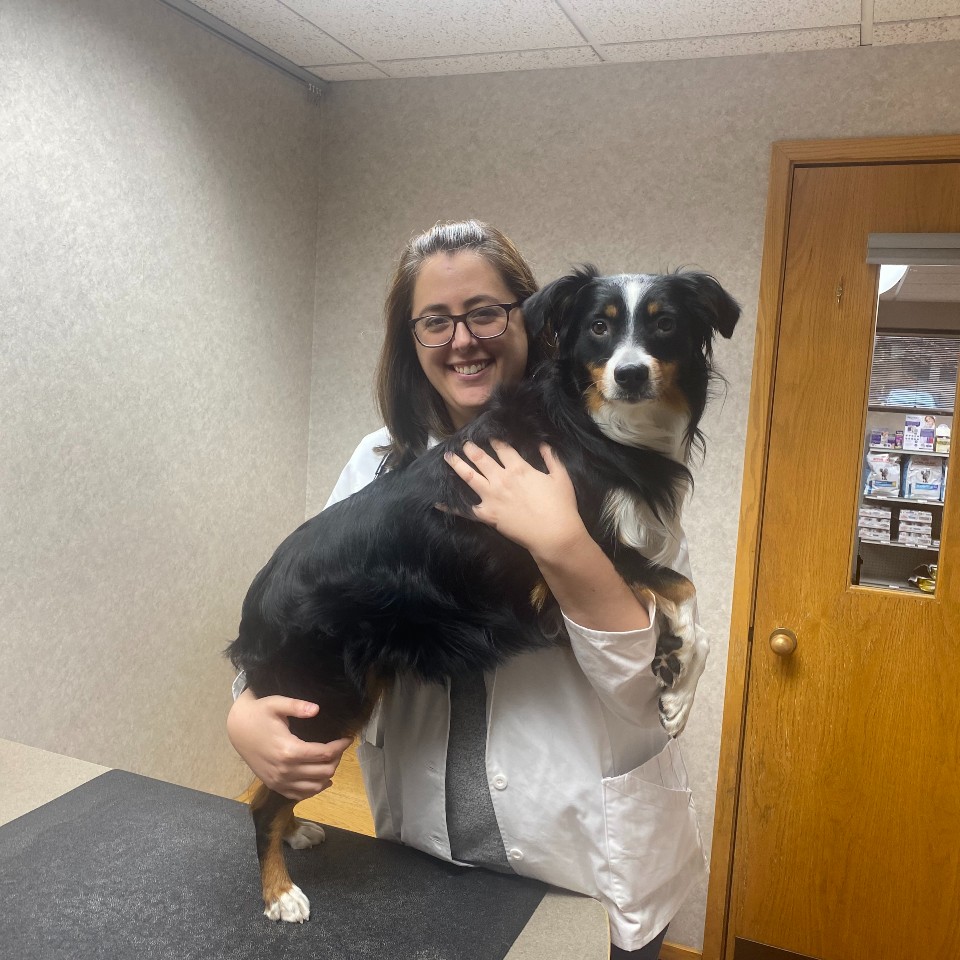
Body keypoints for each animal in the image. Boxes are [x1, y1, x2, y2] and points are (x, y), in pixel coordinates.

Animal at [229, 262, 740, 924]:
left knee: (274, 783)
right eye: (599, 328)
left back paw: (295, 833)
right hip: (325, 700)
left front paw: (672, 677)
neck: (595, 427)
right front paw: (679, 691)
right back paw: (279, 892)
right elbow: (684, 588)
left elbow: (680, 599)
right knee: (262, 799)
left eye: (666, 324)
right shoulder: (574, 558)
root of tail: (258, 601)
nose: (630, 374)